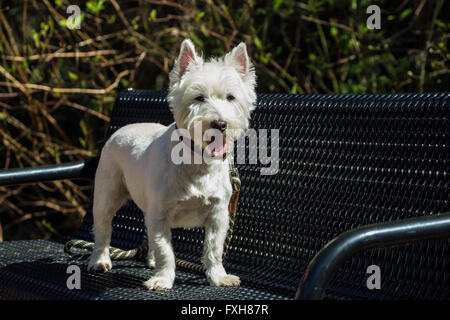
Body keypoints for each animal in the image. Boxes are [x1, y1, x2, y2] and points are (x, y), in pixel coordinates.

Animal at [88, 38, 256, 292]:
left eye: (230, 97)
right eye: (199, 98)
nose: (220, 123)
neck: (198, 163)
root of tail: (121, 129)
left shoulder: (218, 214)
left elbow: (214, 249)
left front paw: (219, 277)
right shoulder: (160, 213)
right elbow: (165, 250)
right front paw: (163, 279)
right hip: (107, 193)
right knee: (103, 228)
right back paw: (100, 260)